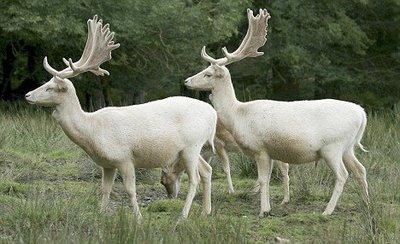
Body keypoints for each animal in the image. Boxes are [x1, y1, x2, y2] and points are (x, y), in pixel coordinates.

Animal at [24, 15, 219, 219]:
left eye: (50, 88)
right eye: (46, 82)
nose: (27, 95)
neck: (93, 131)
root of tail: (213, 114)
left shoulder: (125, 158)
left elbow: (130, 190)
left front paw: (138, 218)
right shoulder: (107, 164)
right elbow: (105, 190)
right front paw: (101, 214)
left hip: (192, 146)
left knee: (195, 178)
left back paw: (183, 215)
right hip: (190, 150)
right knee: (207, 170)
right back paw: (205, 211)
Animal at [184, 8, 368, 216]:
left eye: (208, 73)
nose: (187, 81)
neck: (238, 115)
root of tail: (362, 114)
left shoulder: (260, 148)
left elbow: (264, 180)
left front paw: (263, 211)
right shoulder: (271, 152)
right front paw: (268, 207)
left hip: (333, 147)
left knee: (343, 175)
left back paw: (327, 211)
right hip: (348, 147)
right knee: (361, 169)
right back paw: (367, 204)